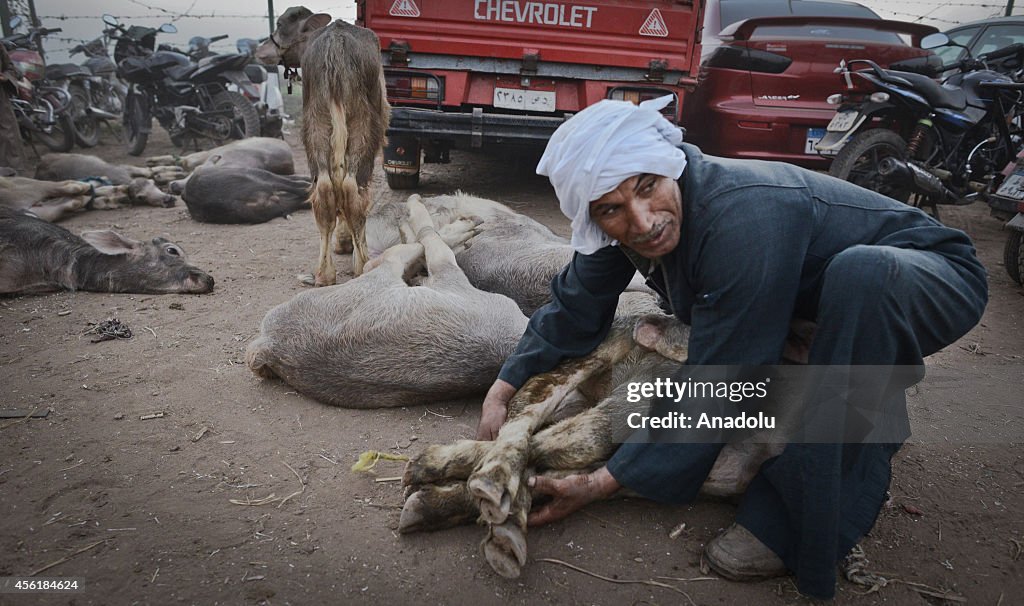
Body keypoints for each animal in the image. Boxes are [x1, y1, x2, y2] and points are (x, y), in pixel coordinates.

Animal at [247, 195, 528, 407]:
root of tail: (269, 343)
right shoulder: (449, 273)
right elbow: (431, 239)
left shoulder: (448, 275)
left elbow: (431, 239)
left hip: (384, 271)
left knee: (383, 258)